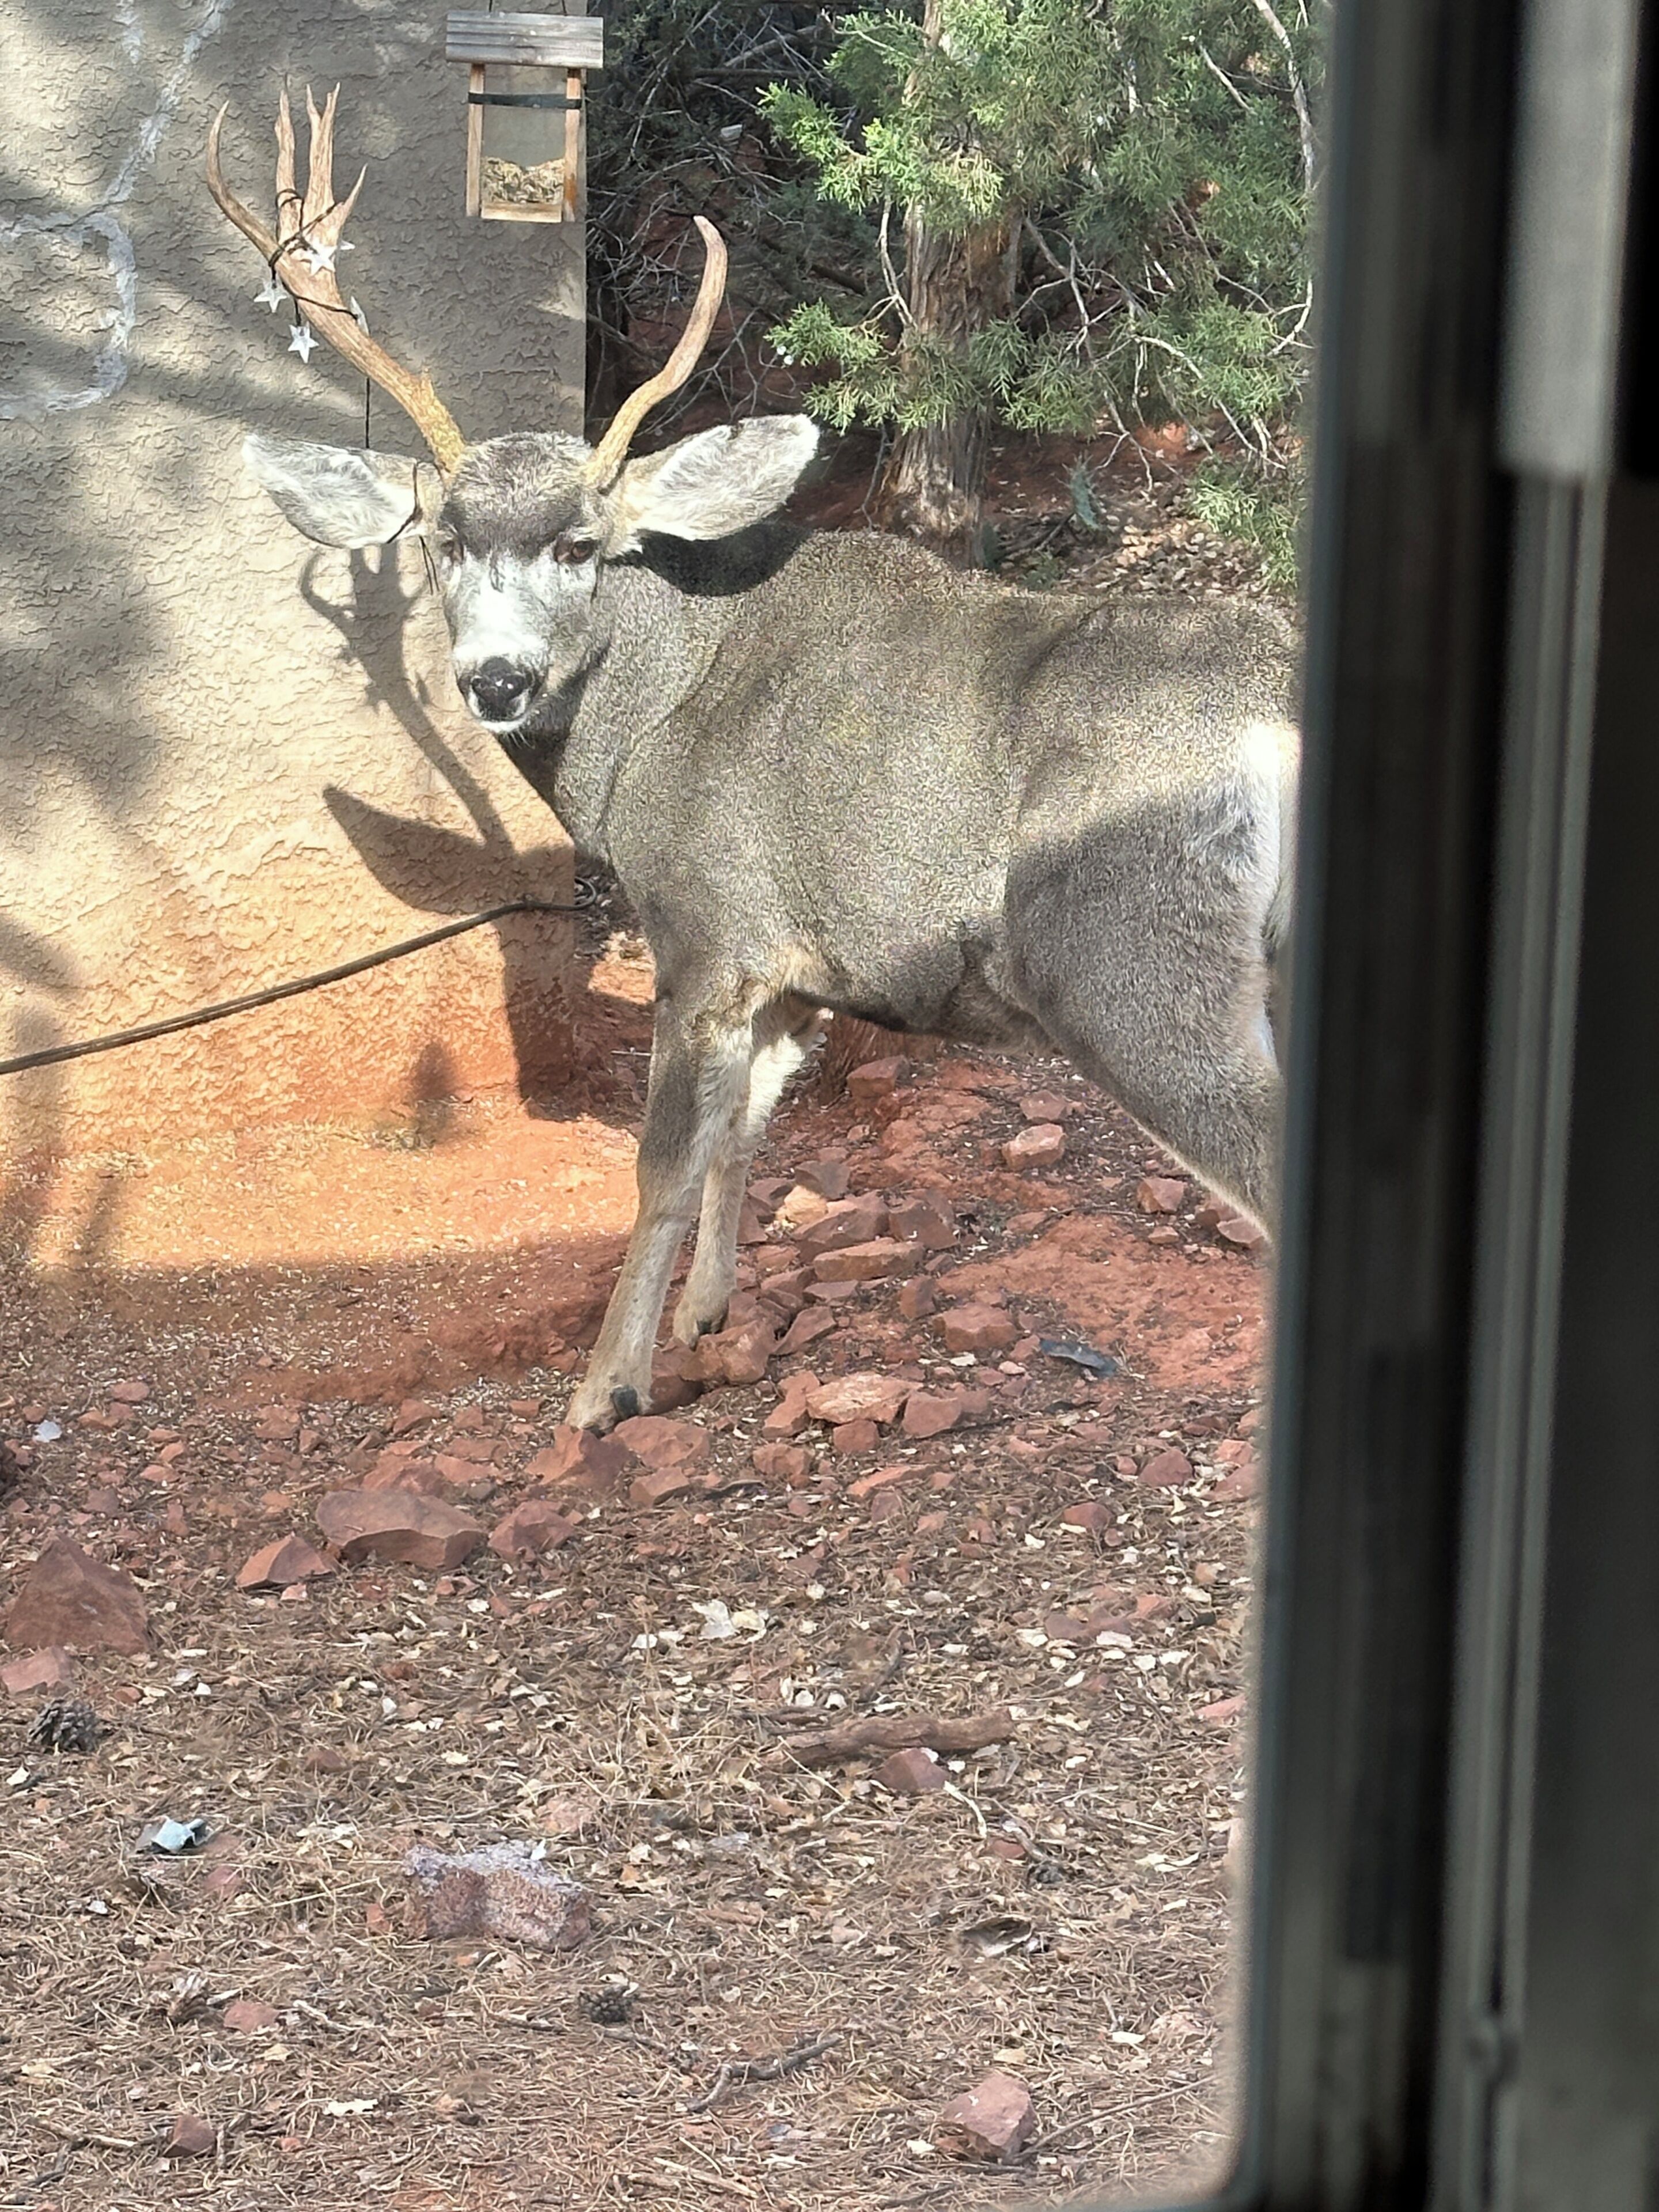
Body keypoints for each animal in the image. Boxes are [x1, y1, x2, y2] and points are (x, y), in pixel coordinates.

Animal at [209, 88, 1298, 1432]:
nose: (497, 681)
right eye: (444, 541)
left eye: (580, 545)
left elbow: (662, 1164)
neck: (654, 715)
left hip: (1135, 961)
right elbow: (746, 1136)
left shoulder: (708, 930)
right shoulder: (796, 970)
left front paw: (606, 1388)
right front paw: (708, 1316)